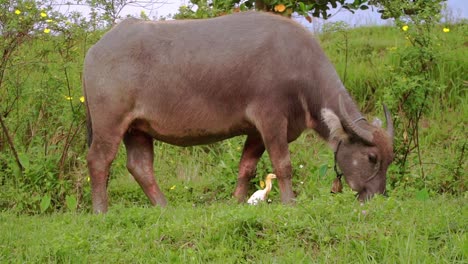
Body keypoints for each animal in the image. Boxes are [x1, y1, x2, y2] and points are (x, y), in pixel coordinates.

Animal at [82, 10, 394, 212]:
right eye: (371, 157)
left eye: (390, 159)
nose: (376, 197)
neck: (300, 70)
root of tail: (95, 50)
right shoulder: (271, 120)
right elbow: (283, 164)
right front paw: (290, 202)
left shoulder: (256, 131)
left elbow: (247, 166)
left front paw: (238, 200)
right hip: (109, 123)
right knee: (99, 160)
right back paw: (100, 210)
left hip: (137, 128)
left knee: (140, 166)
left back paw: (163, 207)